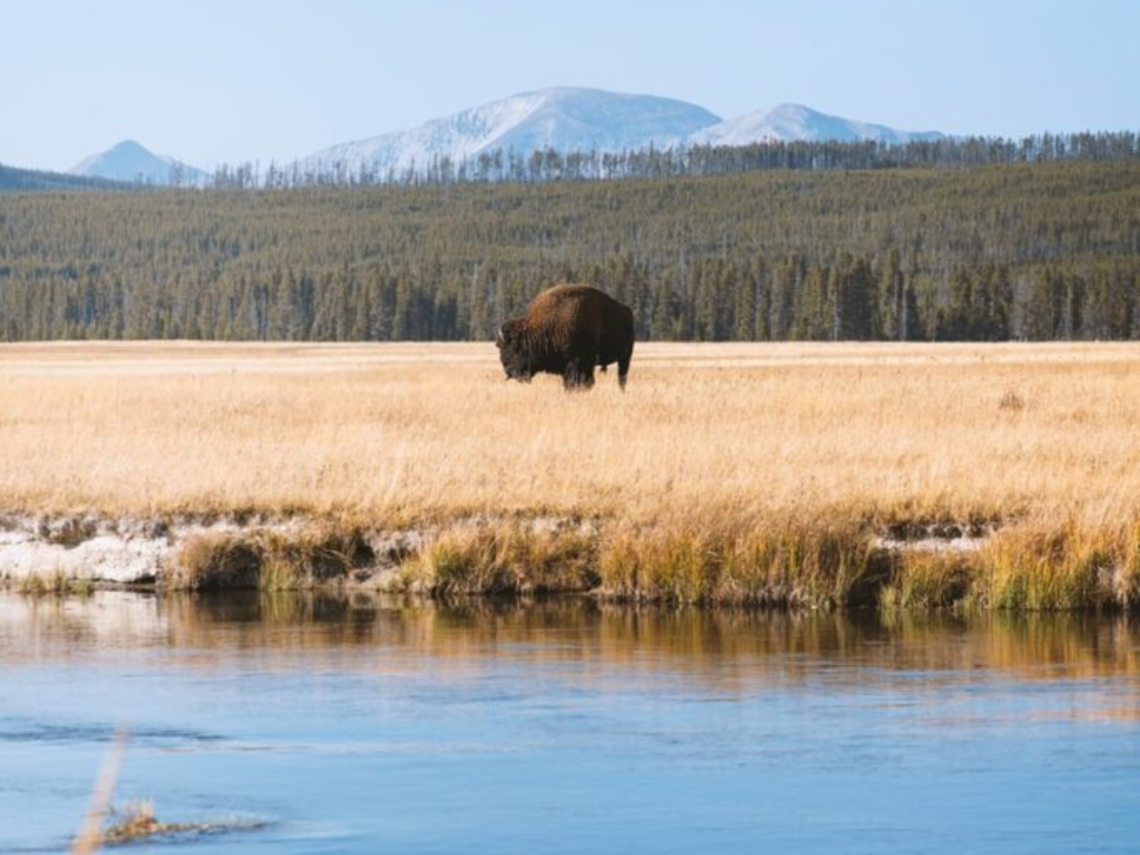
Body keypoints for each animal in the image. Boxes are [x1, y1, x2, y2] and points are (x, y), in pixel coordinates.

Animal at [497, 285, 633, 392]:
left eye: (514, 347)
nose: (508, 370)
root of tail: (627, 311)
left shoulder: (577, 362)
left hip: (625, 358)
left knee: (622, 377)